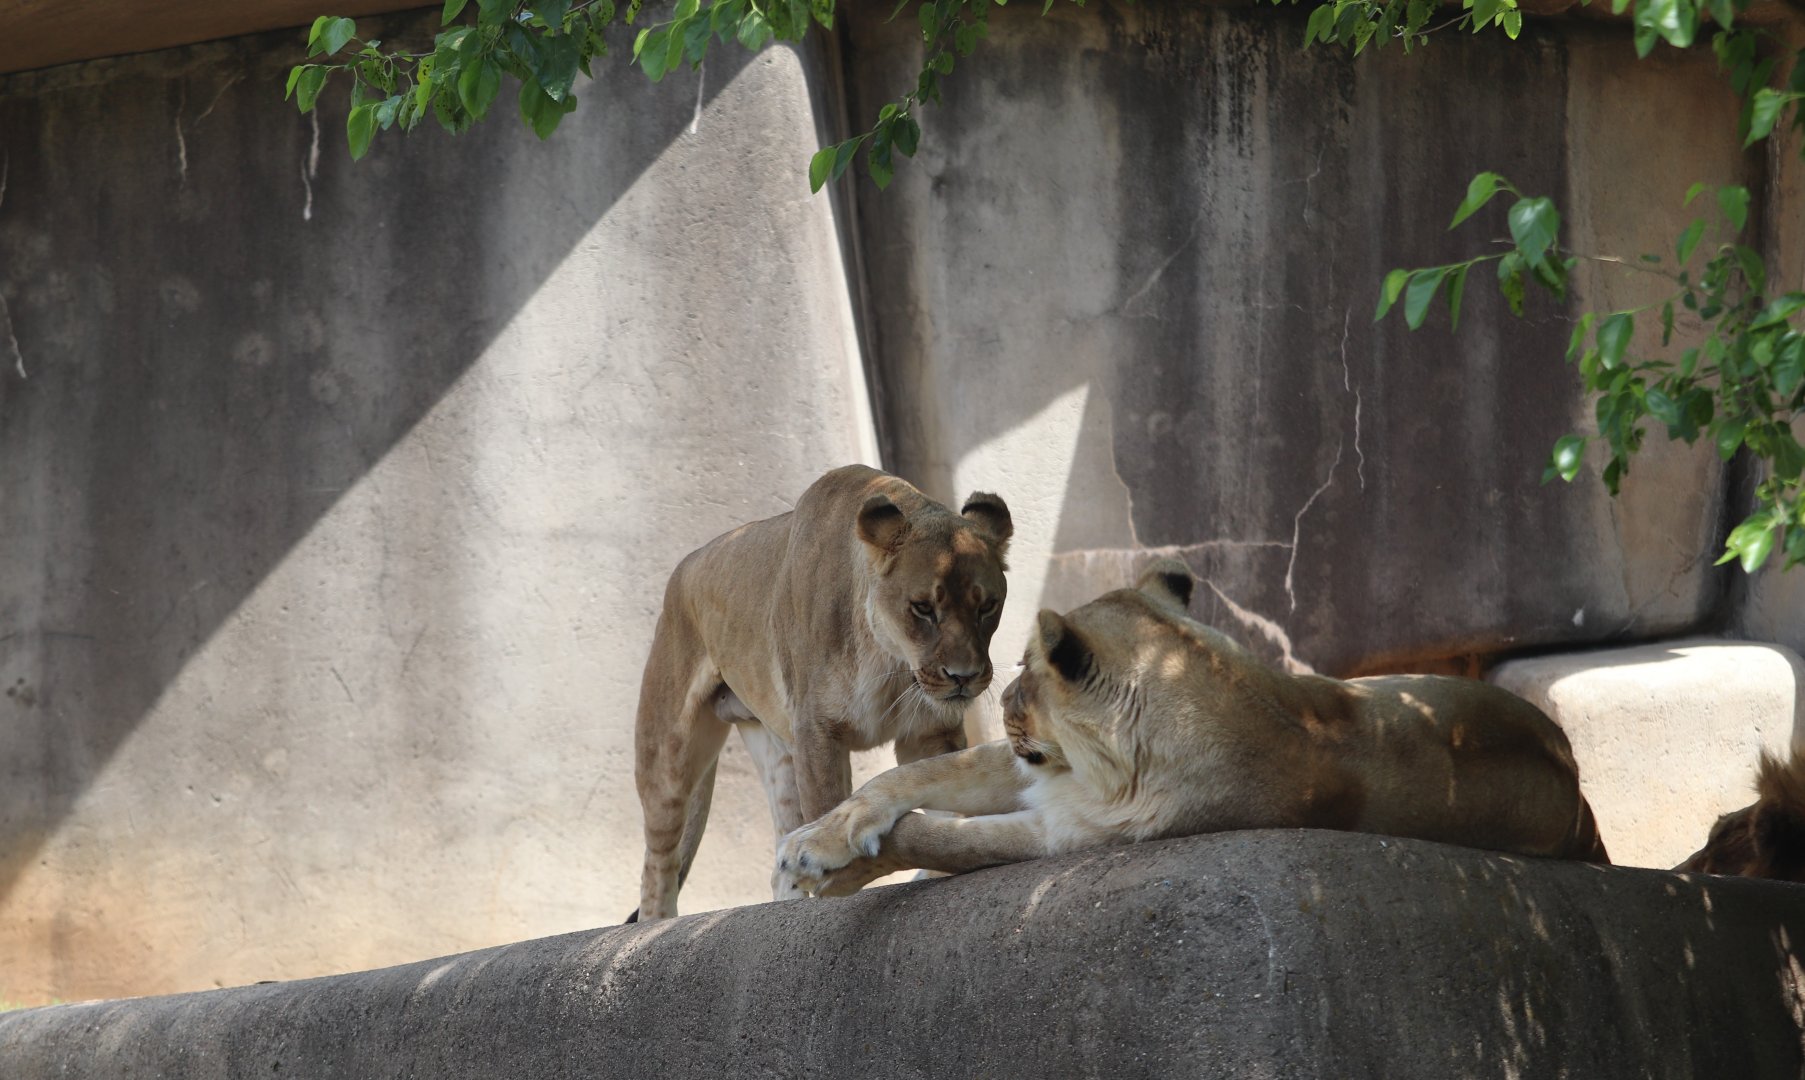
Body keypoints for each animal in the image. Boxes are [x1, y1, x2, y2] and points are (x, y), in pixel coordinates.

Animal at [630, 464, 1012, 922]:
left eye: (987, 606)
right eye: (922, 608)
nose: (963, 677)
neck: (890, 662)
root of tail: (687, 564)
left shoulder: (929, 732)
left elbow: (941, 798)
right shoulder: (818, 732)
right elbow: (829, 808)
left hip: (777, 752)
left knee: (777, 857)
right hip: (667, 756)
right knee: (657, 867)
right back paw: (655, 927)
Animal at [775, 558, 1608, 897]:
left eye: (1020, 666)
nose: (1001, 699)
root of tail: (1579, 793)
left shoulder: (1069, 835)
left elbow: (940, 838)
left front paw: (819, 871)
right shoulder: (1030, 771)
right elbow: (907, 775)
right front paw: (816, 836)